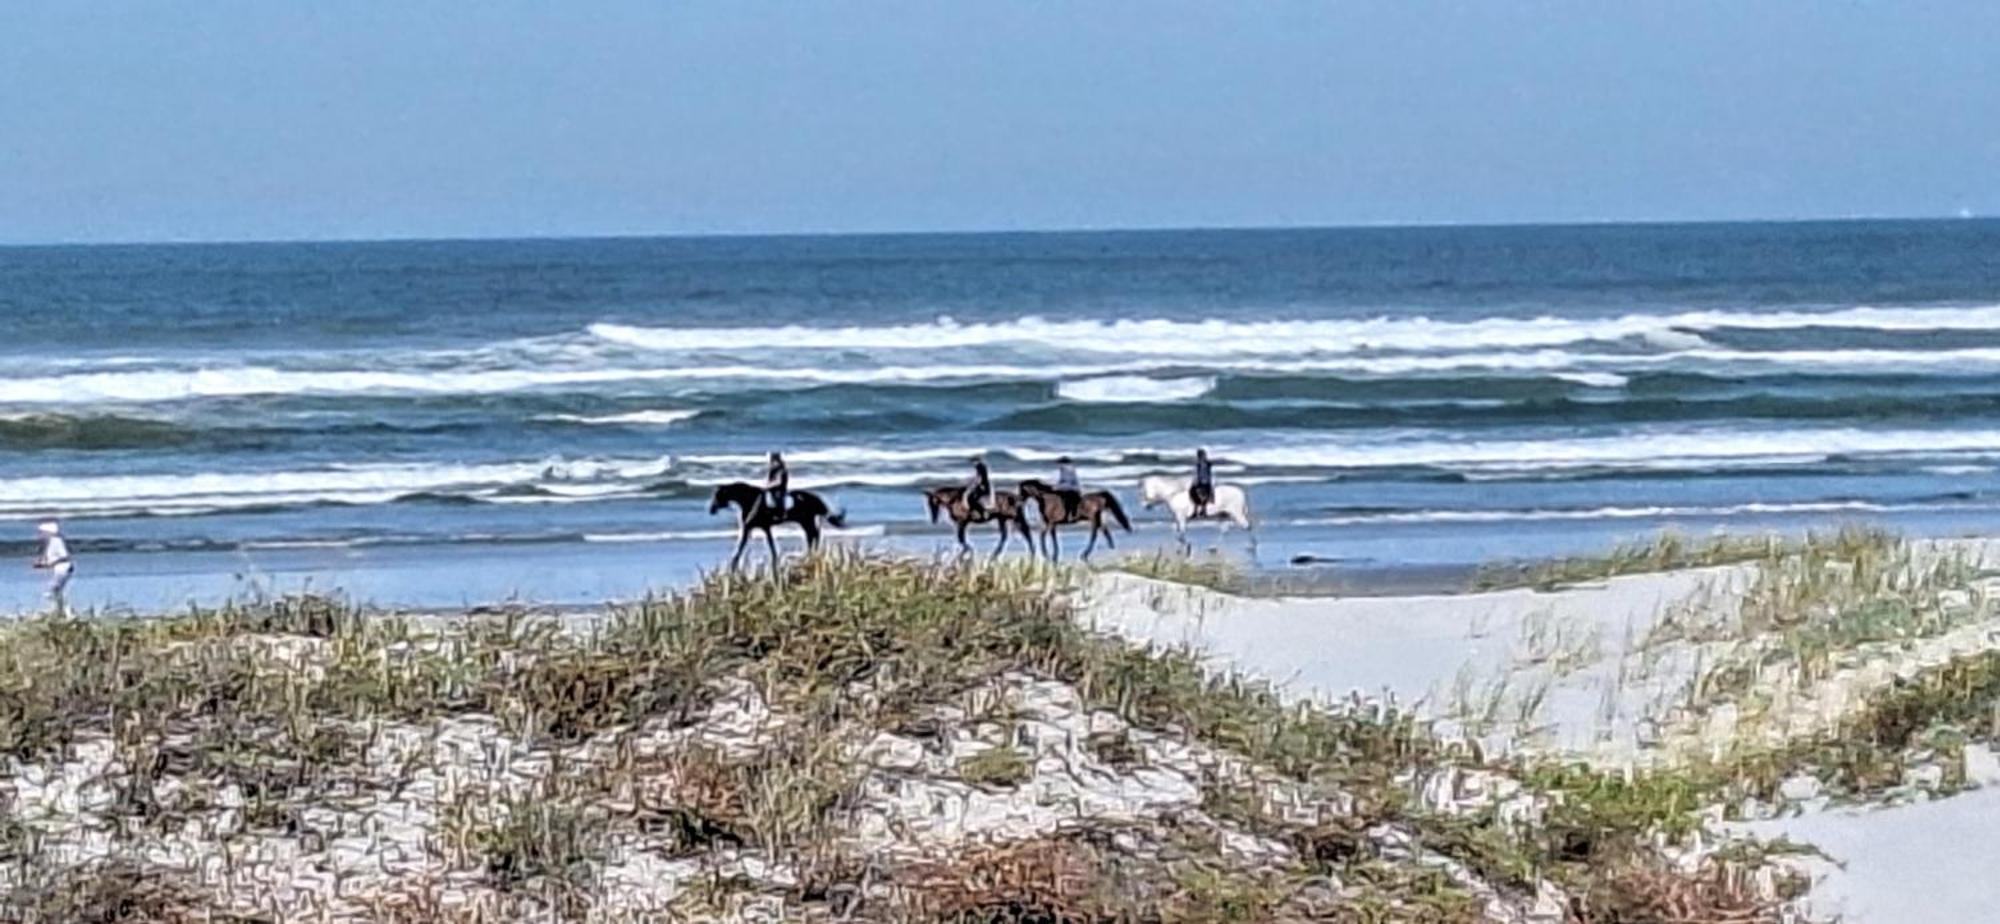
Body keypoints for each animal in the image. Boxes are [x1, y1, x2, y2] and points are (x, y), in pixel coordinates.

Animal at [712, 480, 844, 572]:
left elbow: (742, 547)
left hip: (806, 522)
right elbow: (769, 546)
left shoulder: (750, 528)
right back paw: (810, 555)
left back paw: (810, 556)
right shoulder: (762, 528)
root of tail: (814, 498)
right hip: (806, 522)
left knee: (813, 535)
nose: (711, 510)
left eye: (718, 496)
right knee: (813, 535)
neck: (750, 500)